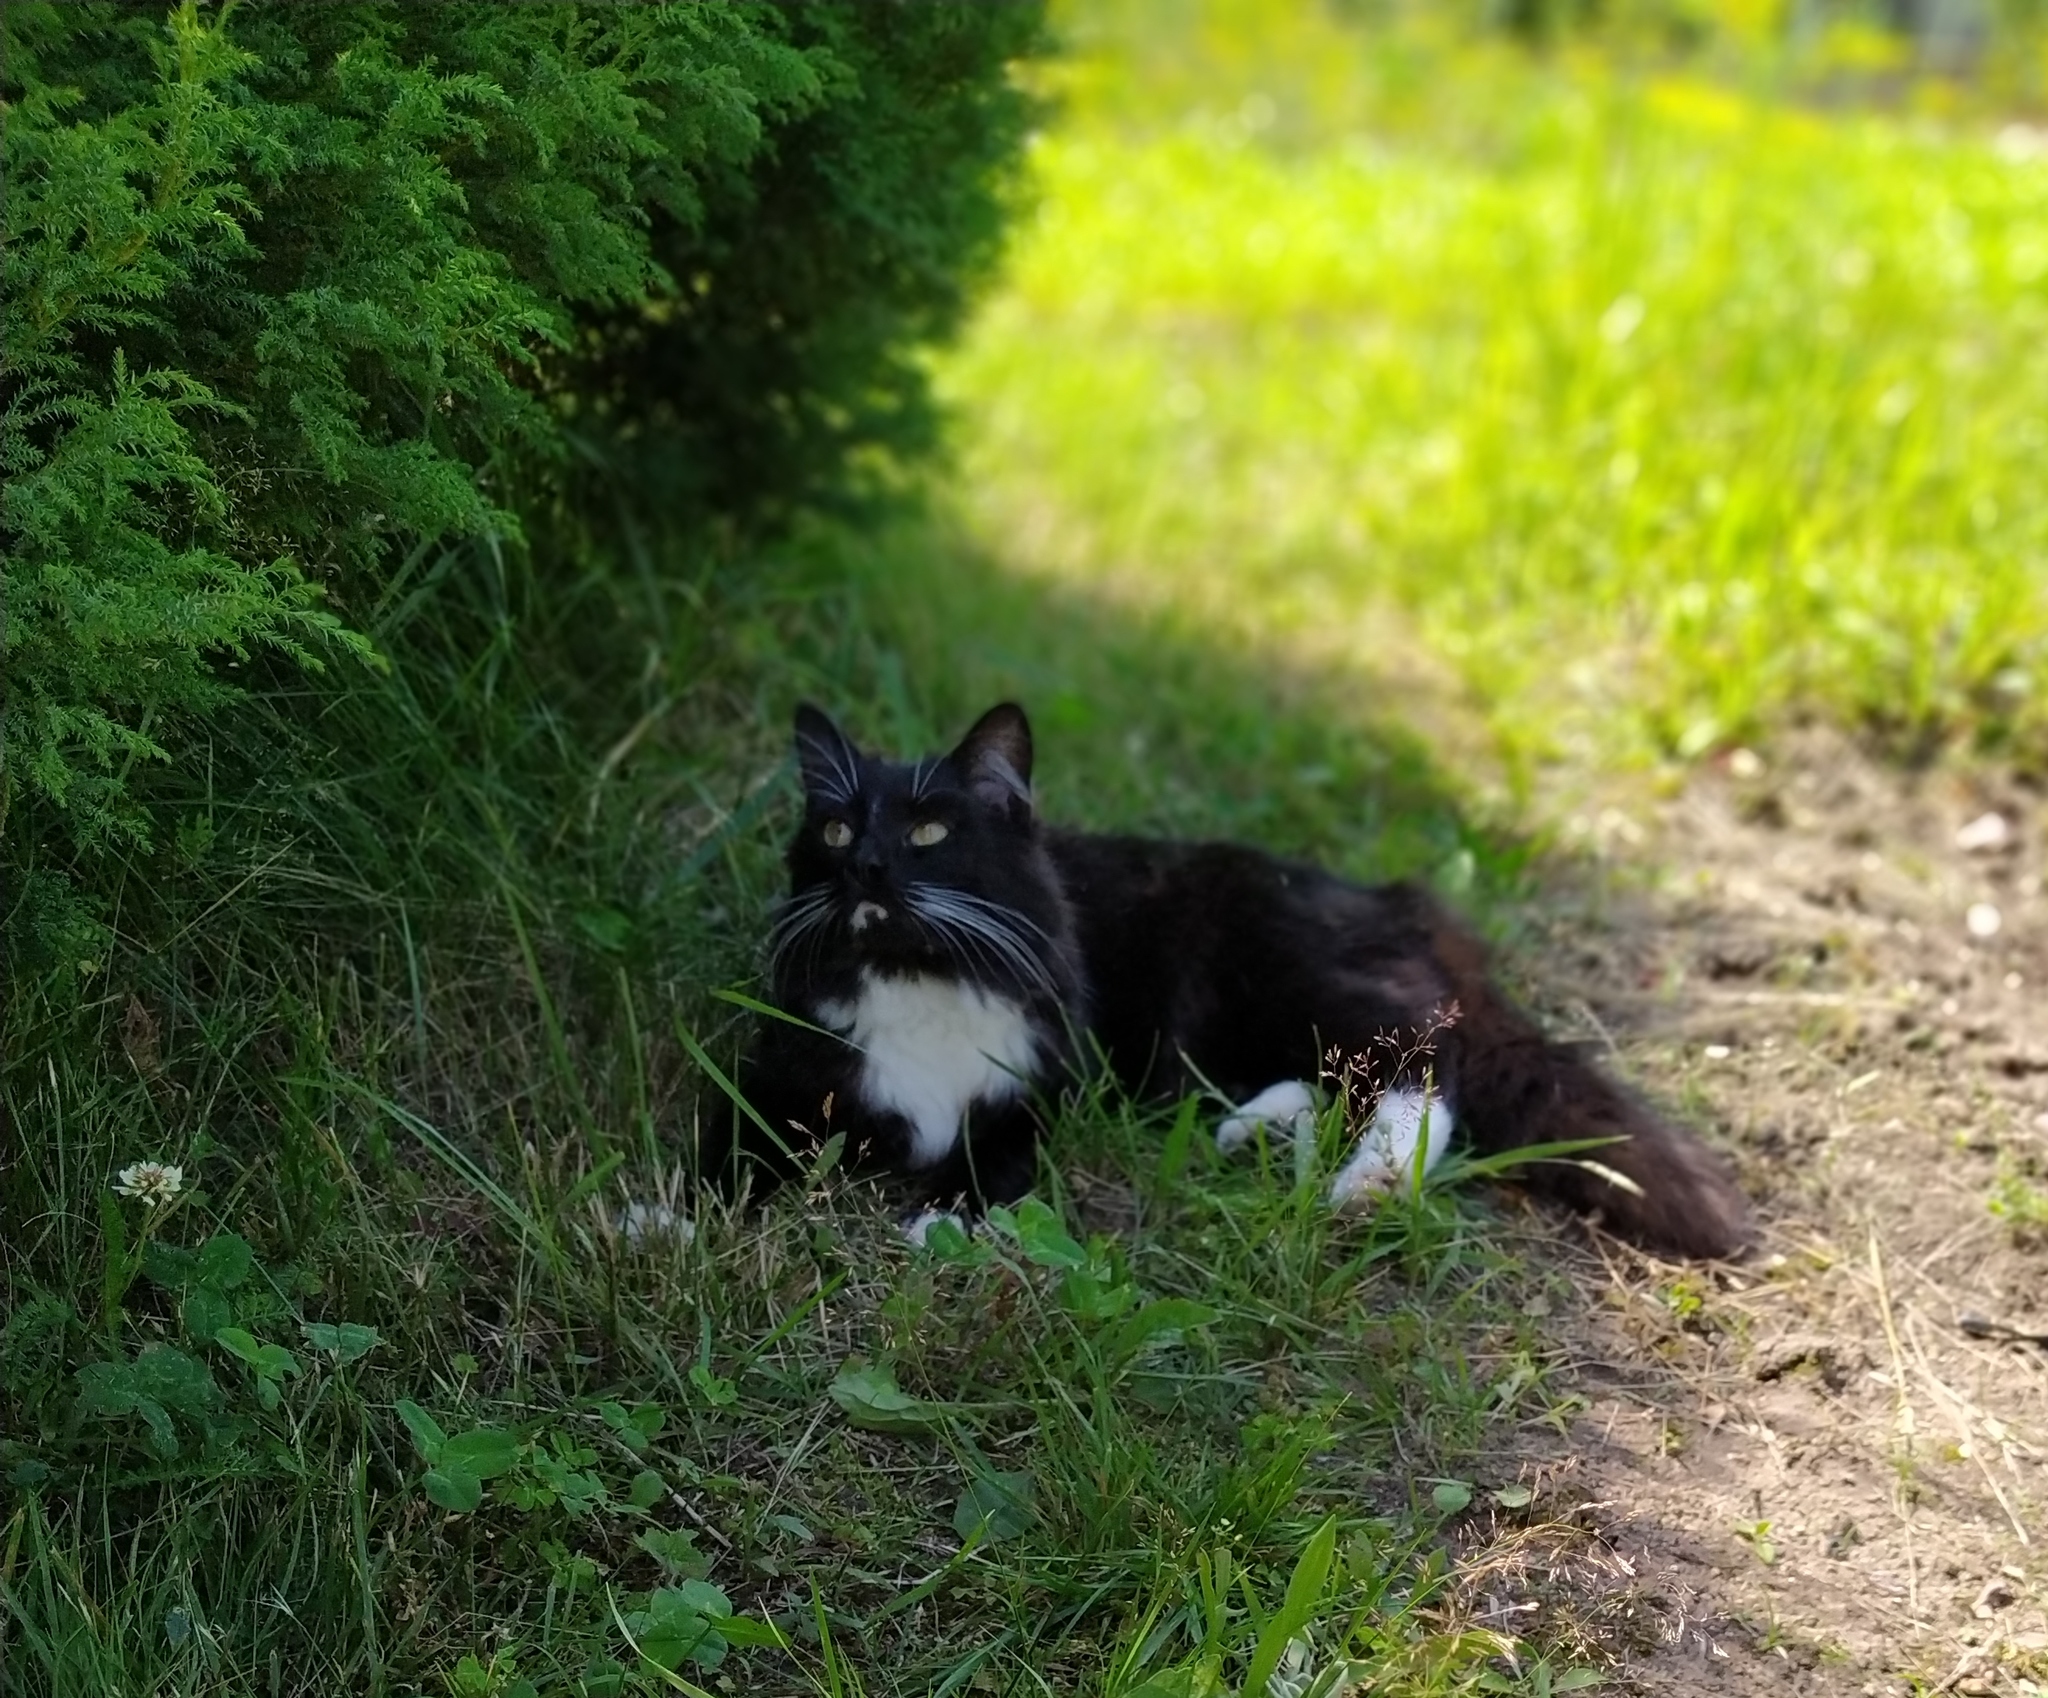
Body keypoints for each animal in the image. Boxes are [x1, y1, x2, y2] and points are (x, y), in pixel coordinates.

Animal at [712, 692, 1753, 1261]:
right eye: (835, 830)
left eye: (929, 831)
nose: (865, 869)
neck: (918, 977)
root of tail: (1395, 899)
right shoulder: (781, 1074)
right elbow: (731, 1151)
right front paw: (682, 1229)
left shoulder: (1037, 1089)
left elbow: (988, 1157)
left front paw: (938, 1221)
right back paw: (1258, 1130)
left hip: (1288, 975)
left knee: (1427, 1057)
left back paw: (1371, 1184)